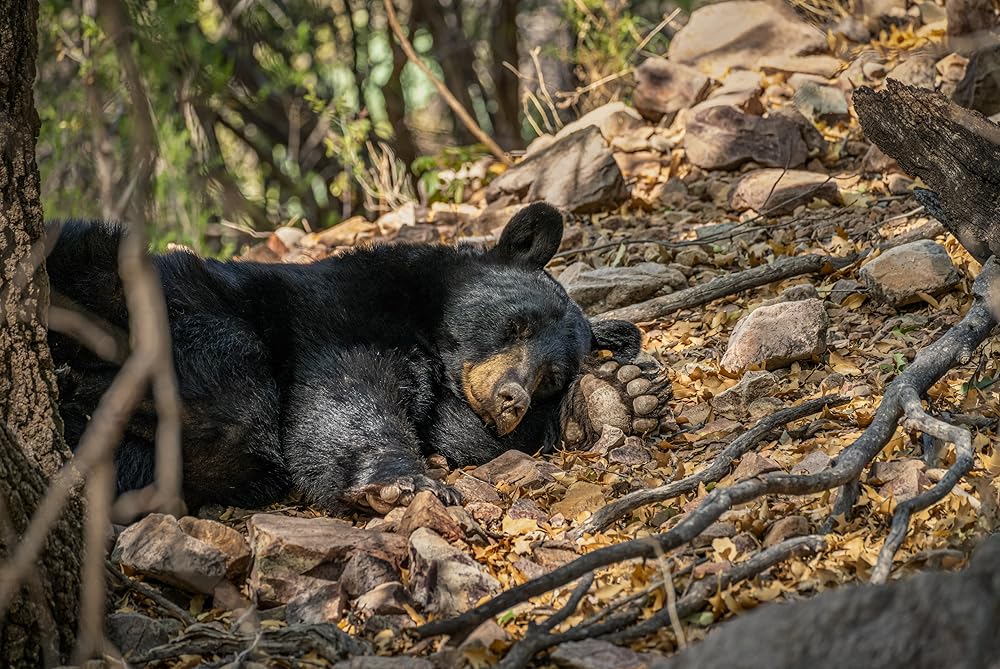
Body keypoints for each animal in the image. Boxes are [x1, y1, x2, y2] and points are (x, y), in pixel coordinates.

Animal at [45, 204, 640, 512]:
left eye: (551, 377)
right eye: (515, 325)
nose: (512, 397)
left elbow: (473, 440)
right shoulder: (339, 315)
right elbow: (344, 391)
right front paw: (408, 482)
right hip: (113, 275)